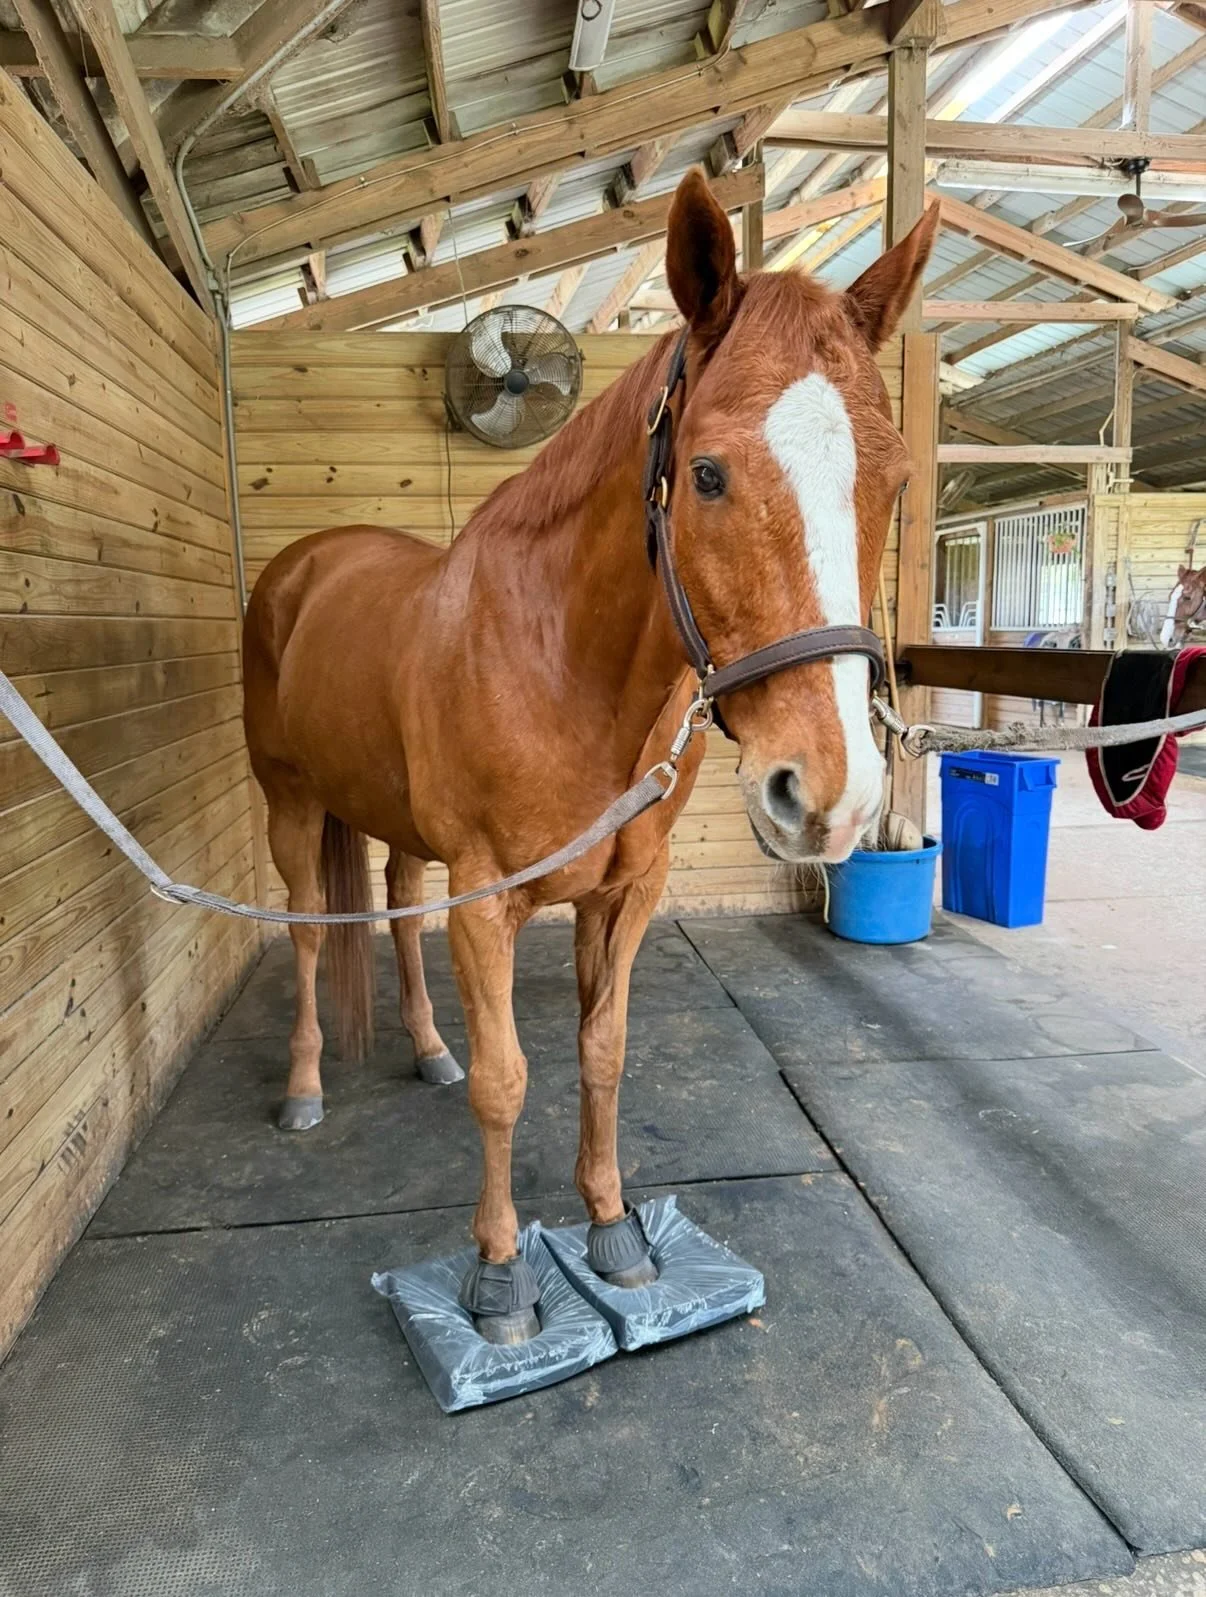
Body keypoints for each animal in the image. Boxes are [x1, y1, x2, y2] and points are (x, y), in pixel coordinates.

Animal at [242, 170, 938, 1342]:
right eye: (705, 473)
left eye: (890, 480)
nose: (831, 796)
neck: (562, 665)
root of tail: (303, 567)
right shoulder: (487, 900)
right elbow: (506, 1079)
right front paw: (499, 1278)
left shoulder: (624, 889)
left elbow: (601, 1053)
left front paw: (615, 1235)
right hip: (290, 806)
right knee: (301, 931)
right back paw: (302, 1090)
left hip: (398, 826)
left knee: (398, 905)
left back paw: (424, 1047)